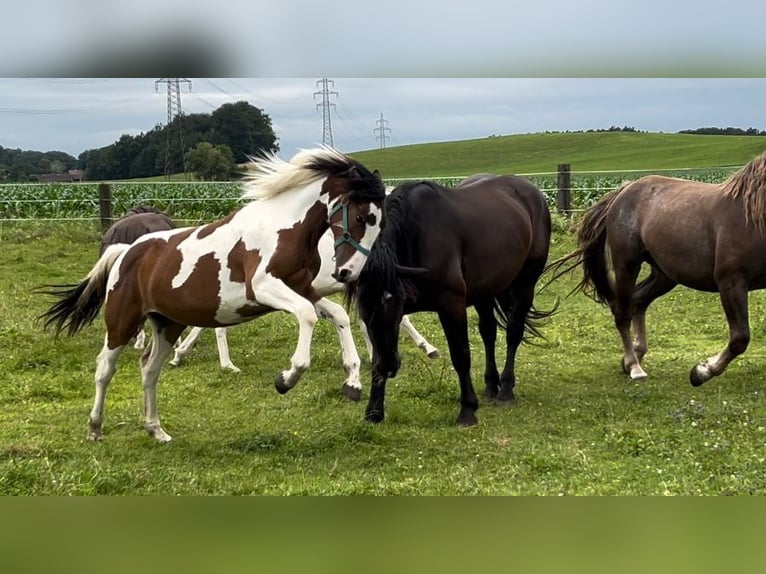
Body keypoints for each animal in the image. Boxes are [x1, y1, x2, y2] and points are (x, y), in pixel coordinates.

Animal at [39, 148, 388, 446]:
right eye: (361, 218)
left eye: (379, 224)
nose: (349, 273)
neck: (284, 228)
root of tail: (125, 251)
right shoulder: (264, 287)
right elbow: (307, 315)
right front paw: (286, 379)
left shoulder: (303, 288)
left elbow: (337, 316)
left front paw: (352, 383)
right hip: (121, 322)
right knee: (104, 369)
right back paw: (95, 429)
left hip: (167, 324)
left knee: (149, 370)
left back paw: (156, 430)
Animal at [340, 173, 552, 426]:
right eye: (364, 308)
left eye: (390, 300)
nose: (392, 367)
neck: (415, 236)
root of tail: (532, 191)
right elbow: (376, 358)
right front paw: (374, 411)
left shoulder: (451, 305)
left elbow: (461, 356)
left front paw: (468, 411)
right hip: (484, 292)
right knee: (488, 333)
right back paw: (491, 386)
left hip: (525, 284)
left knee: (513, 332)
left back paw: (506, 390)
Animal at [544, 151, 766, 390]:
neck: (752, 217)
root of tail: (624, 190)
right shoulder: (731, 281)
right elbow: (739, 338)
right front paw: (700, 372)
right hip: (627, 265)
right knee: (622, 312)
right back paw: (635, 367)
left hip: (664, 274)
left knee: (638, 301)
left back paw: (634, 356)